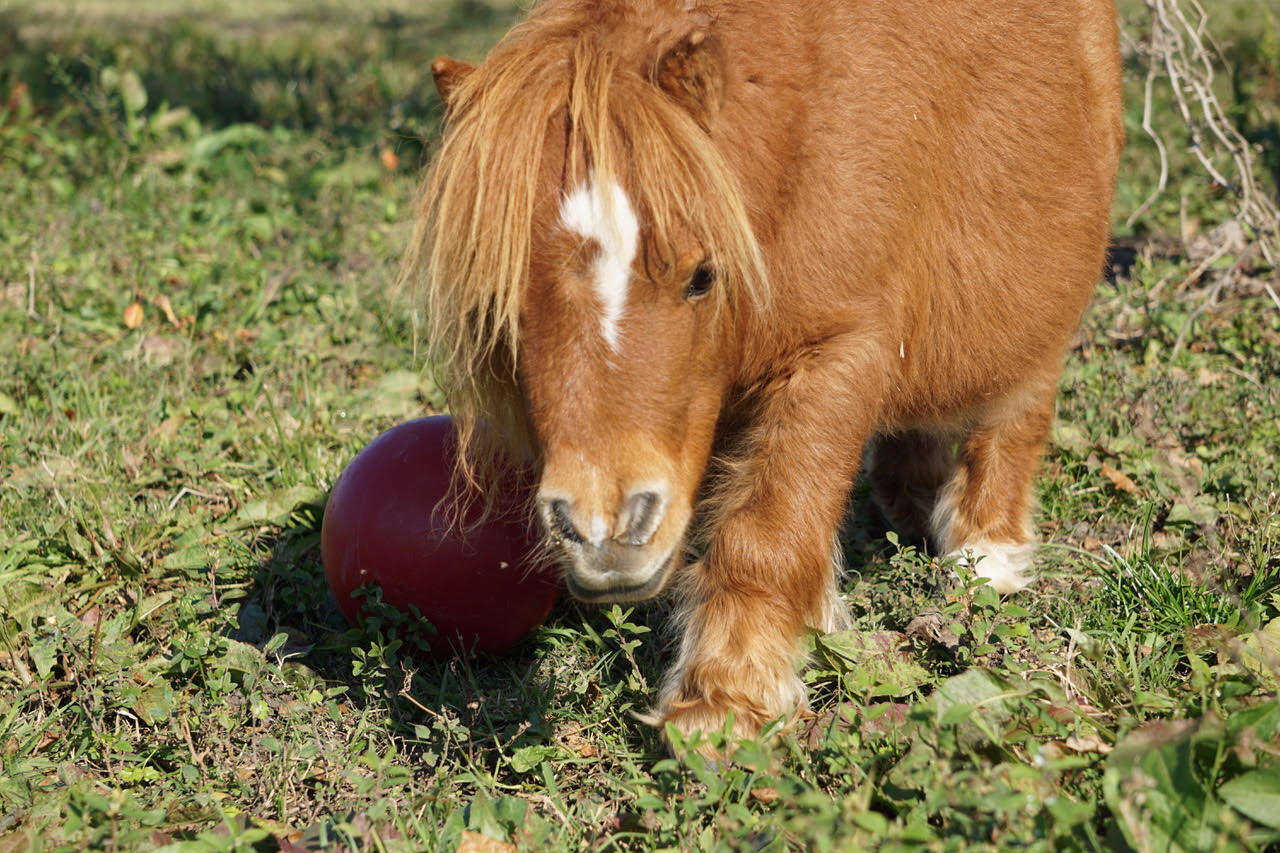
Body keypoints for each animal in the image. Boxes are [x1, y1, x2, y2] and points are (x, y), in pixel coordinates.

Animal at [404, 0, 1126, 742]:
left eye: (701, 276)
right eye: (499, 303)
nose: (605, 533)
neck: (796, 149)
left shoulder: (838, 353)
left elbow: (769, 527)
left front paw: (725, 703)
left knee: (1017, 409)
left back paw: (985, 555)